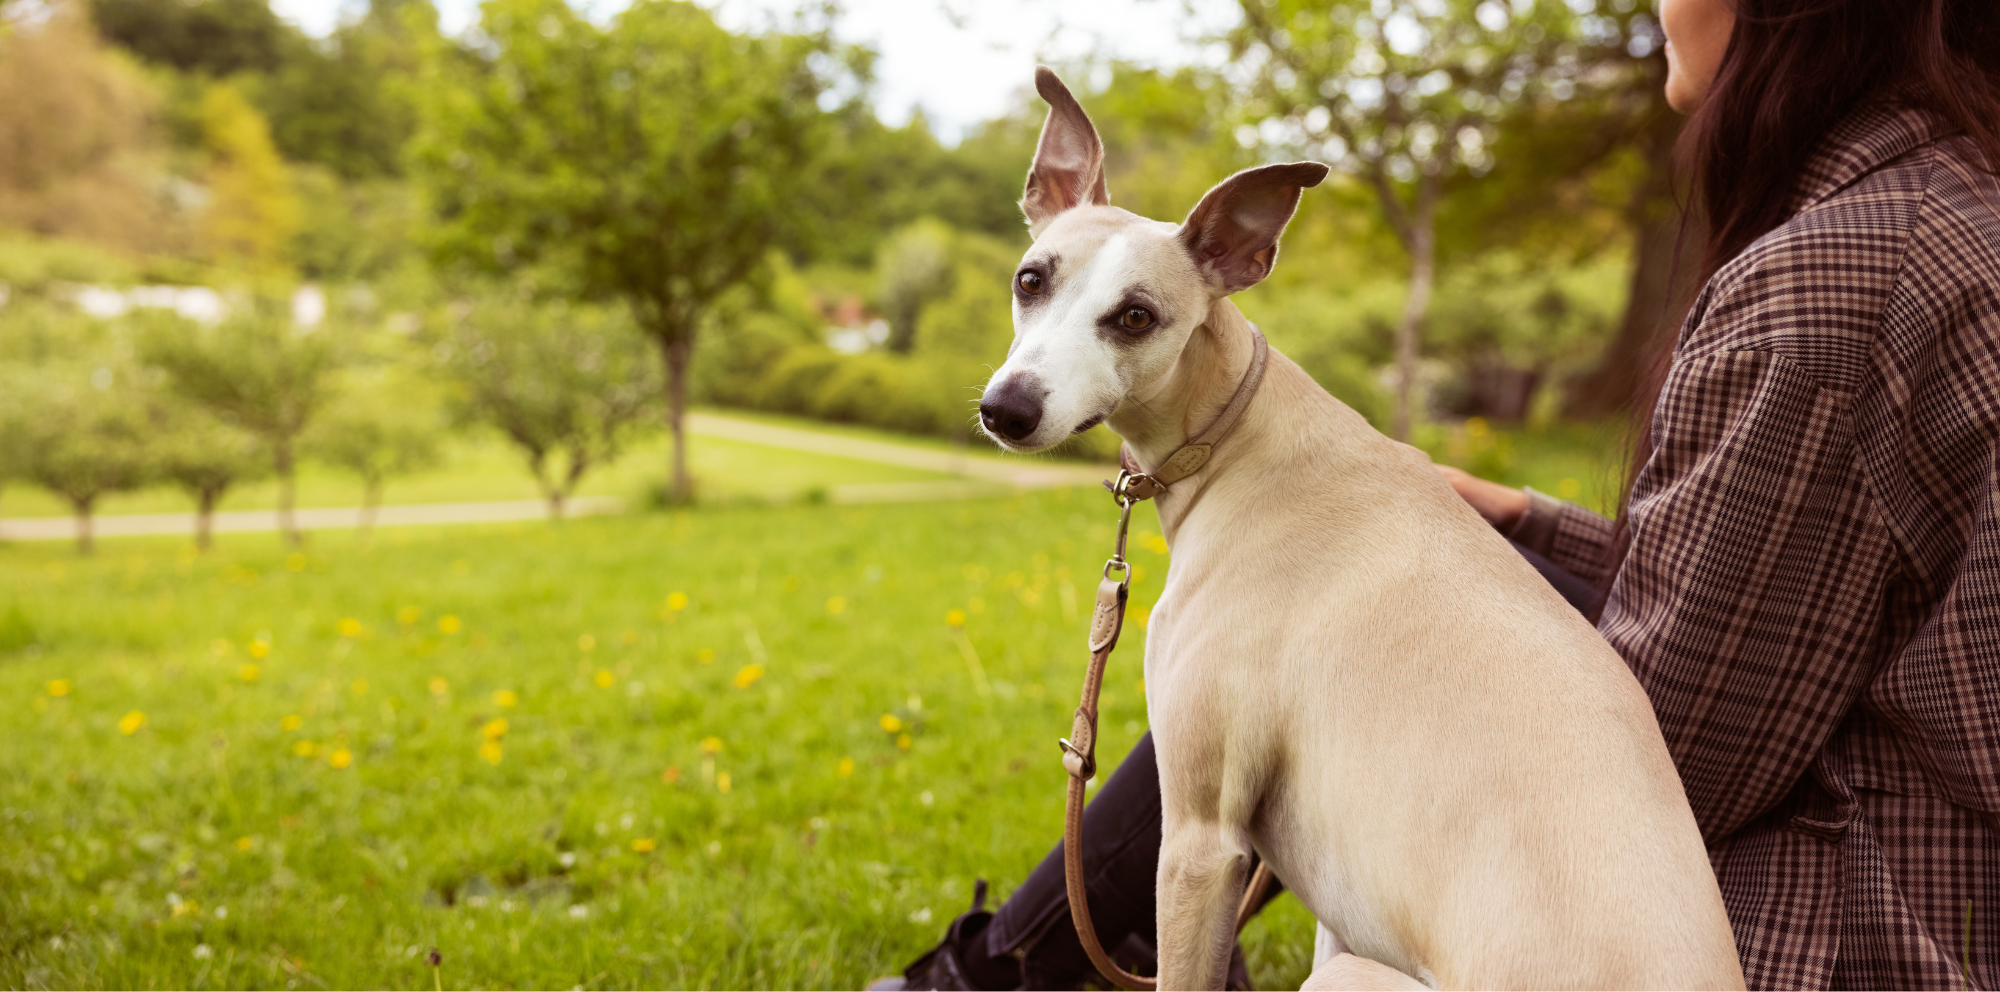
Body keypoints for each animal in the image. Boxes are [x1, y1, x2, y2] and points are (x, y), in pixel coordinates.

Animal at [976, 66, 1744, 988]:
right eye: (1032, 279)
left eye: (1135, 317)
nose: (1005, 411)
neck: (1239, 439)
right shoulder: (1328, 909)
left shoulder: (1202, 839)